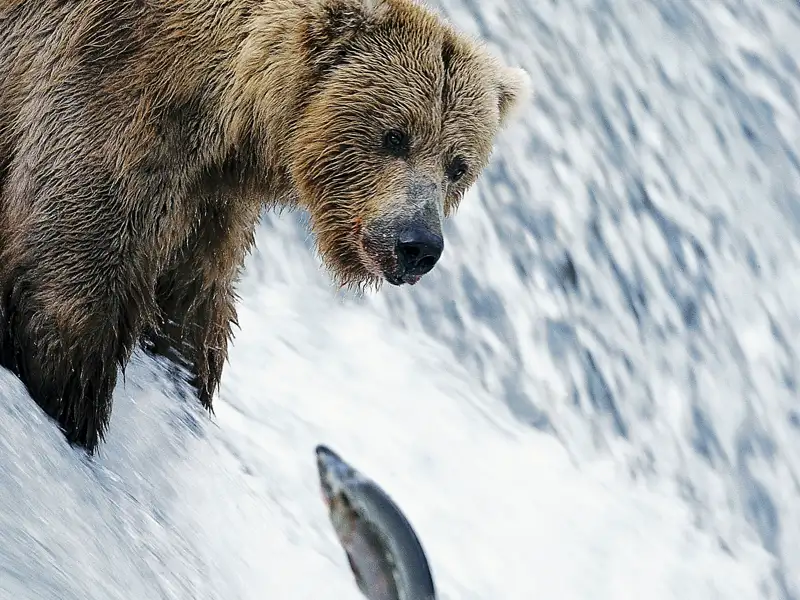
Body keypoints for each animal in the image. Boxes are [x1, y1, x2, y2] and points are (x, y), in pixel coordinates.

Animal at [0, 0, 530, 453]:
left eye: (458, 166)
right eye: (395, 136)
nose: (417, 244)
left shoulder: (211, 203)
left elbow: (190, 305)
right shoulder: (117, 89)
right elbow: (71, 273)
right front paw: (68, 402)